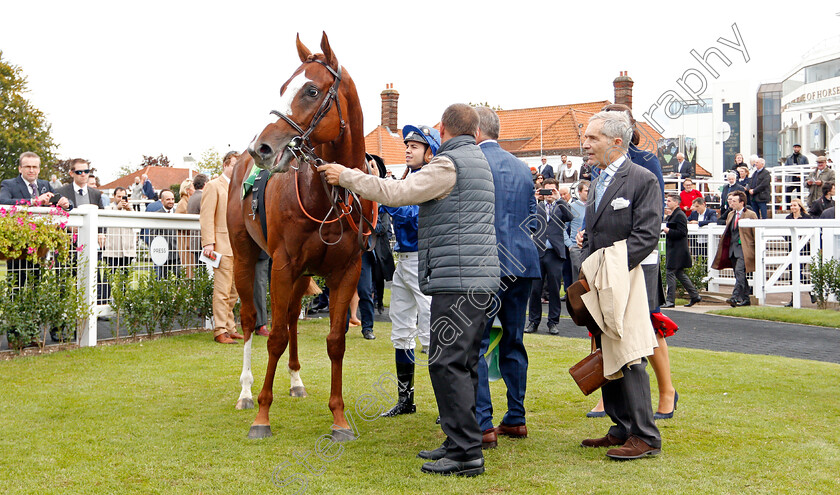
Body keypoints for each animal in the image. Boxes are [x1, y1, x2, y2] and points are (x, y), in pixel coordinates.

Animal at [228, 32, 376, 442]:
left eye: (311, 90)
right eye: (283, 88)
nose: (260, 148)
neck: (328, 196)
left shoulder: (346, 270)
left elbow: (335, 341)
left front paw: (339, 419)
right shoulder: (282, 265)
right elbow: (275, 335)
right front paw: (262, 415)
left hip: (304, 273)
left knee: (294, 315)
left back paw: (295, 381)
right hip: (246, 258)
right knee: (250, 319)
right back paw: (246, 392)